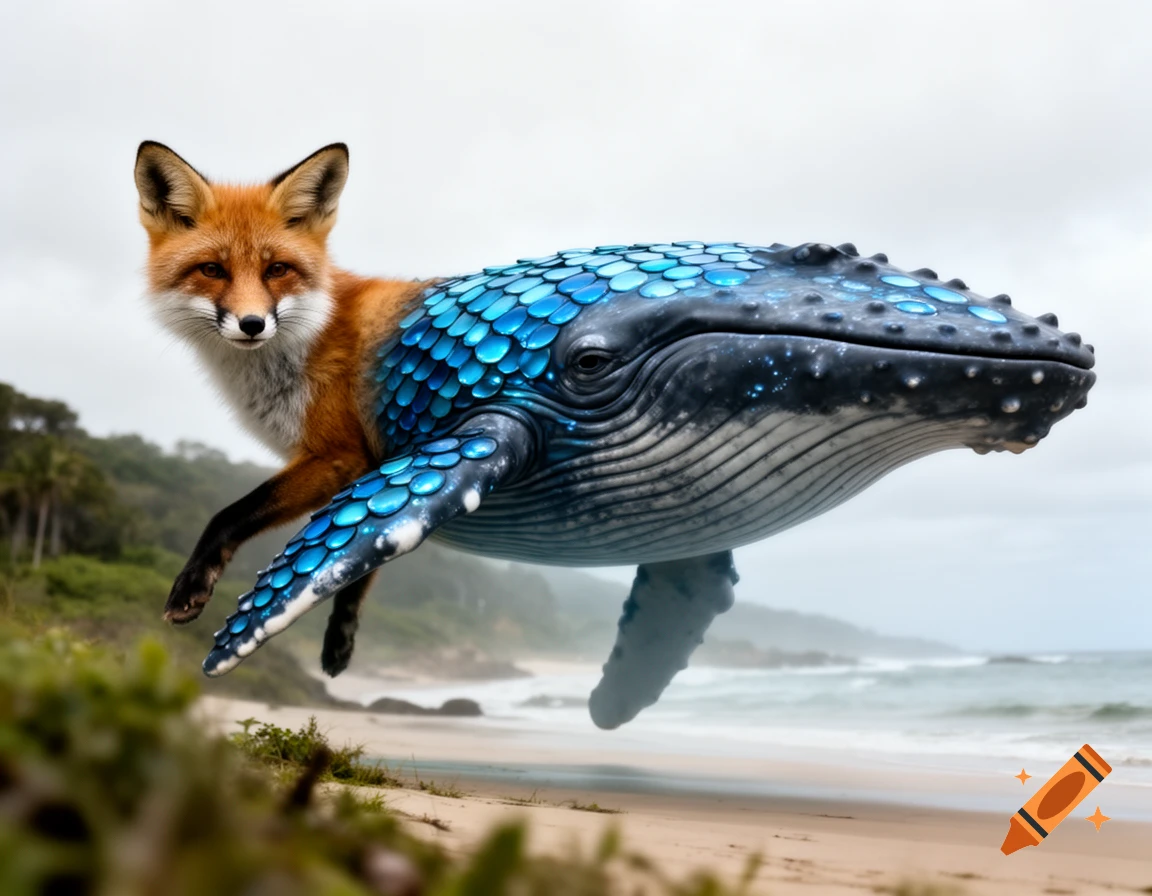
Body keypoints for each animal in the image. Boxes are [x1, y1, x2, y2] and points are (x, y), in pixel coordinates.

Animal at [134, 141, 422, 674]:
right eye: (213, 269)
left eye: (276, 270)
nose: (252, 324)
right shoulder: (362, 465)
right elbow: (368, 550)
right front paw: (342, 634)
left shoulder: (340, 455)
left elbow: (230, 514)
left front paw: (191, 585)